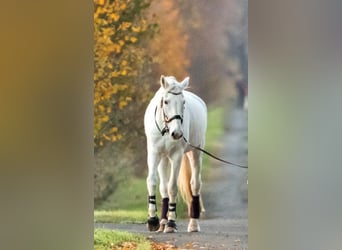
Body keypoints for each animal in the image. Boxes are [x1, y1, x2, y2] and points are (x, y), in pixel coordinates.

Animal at [144, 74, 207, 232]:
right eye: (166, 102)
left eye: (183, 102)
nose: (177, 133)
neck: (166, 128)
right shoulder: (154, 153)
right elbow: (153, 182)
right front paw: (153, 220)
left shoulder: (177, 156)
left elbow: (172, 187)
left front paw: (172, 223)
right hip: (164, 158)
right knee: (163, 187)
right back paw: (162, 222)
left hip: (196, 153)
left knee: (195, 184)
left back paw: (193, 224)